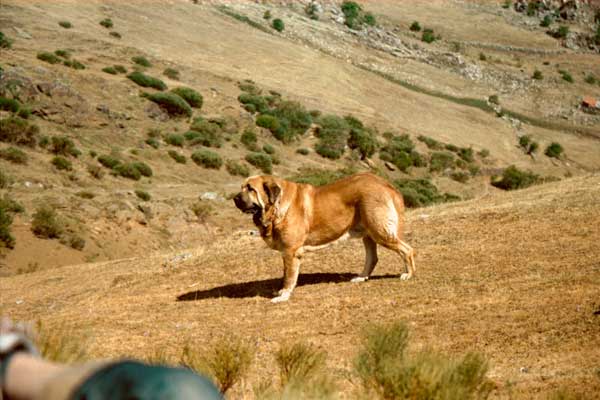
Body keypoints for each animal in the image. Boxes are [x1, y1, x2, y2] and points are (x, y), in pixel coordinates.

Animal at [232, 173, 414, 304]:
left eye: (250, 189)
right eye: (242, 187)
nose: (235, 198)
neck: (276, 207)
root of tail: (386, 184)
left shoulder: (291, 252)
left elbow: (289, 277)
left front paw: (283, 296)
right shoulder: (286, 253)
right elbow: (286, 274)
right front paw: (282, 291)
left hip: (380, 231)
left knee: (408, 250)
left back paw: (408, 274)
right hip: (368, 233)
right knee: (373, 258)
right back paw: (361, 277)